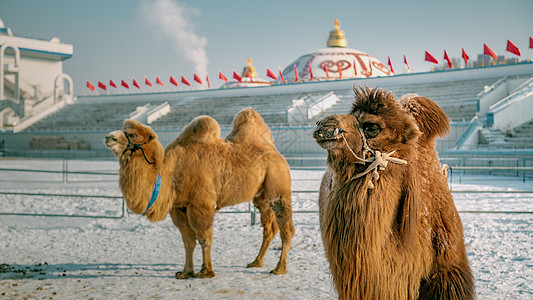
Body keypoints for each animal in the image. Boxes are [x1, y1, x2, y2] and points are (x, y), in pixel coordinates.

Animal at [104, 108, 296, 278]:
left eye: (132, 134)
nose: (109, 137)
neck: (171, 174)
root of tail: (277, 153)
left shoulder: (200, 205)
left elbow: (204, 239)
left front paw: (205, 272)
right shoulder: (179, 207)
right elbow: (188, 241)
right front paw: (185, 272)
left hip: (279, 185)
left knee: (286, 228)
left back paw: (279, 268)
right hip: (260, 197)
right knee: (269, 228)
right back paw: (256, 262)